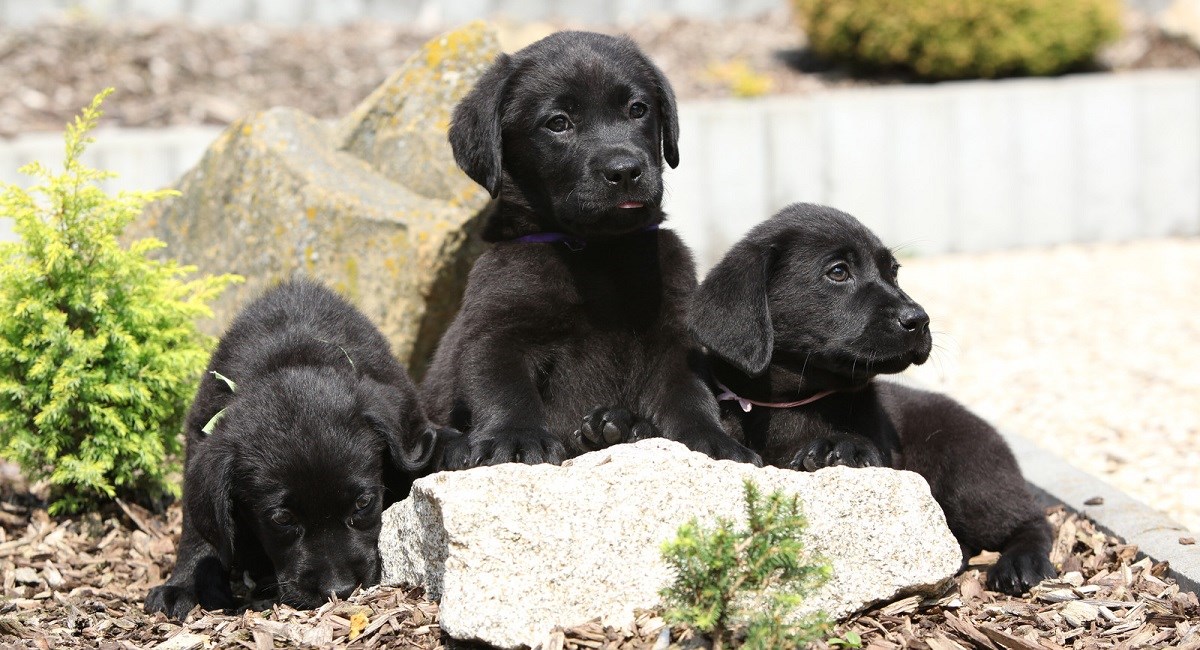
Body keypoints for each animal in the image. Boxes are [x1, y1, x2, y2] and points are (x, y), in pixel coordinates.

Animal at [144, 279, 453, 623]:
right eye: (282, 519)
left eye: (363, 503)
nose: (339, 589)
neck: (292, 355)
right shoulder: (199, 442)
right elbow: (197, 531)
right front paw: (184, 585)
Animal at [424, 31, 758, 470]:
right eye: (558, 123)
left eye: (637, 109)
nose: (625, 171)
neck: (597, 250)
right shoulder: (498, 330)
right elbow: (503, 388)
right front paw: (516, 438)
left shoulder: (674, 332)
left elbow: (689, 393)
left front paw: (711, 440)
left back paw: (615, 427)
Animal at [691, 203, 1056, 597]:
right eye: (838, 272)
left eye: (892, 271)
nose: (920, 320)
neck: (793, 402)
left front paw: (841, 446)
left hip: (970, 477)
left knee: (1032, 520)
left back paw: (1022, 562)